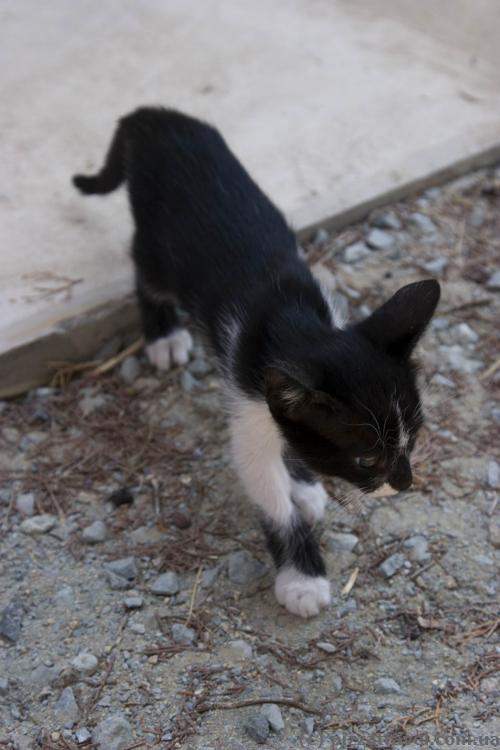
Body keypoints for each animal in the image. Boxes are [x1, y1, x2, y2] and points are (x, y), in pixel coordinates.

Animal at [72, 107, 440, 624]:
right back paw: (163, 335)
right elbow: (272, 499)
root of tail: (158, 117)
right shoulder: (246, 403)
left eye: (415, 439)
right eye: (367, 459)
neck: (292, 319)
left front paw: (303, 482)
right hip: (160, 248)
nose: (404, 484)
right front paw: (302, 577)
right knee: (144, 272)